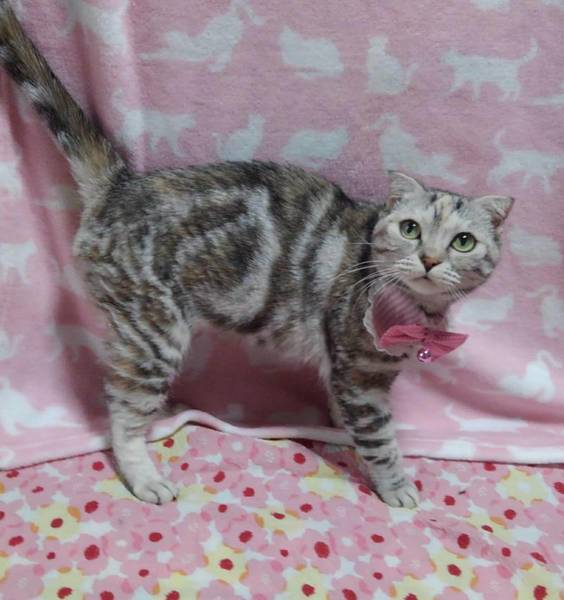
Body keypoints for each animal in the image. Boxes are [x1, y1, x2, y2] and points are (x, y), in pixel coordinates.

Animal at [0, 3, 513, 508]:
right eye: (411, 229)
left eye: (463, 241)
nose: (430, 259)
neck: (415, 312)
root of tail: (119, 185)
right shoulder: (362, 376)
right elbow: (380, 439)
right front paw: (396, 486)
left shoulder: (348, 373)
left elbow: (346, 411)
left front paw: (341, 432)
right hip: (153, 333)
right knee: (121, 412)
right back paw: (145, 475)